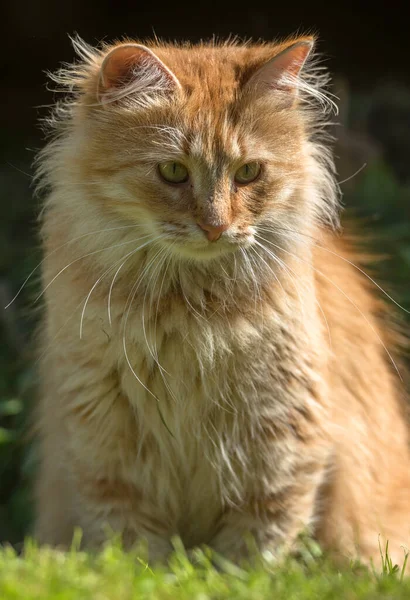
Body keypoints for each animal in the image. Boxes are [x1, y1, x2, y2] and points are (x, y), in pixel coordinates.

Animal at [32, 35, 410, 568]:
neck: (189, 313)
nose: (215, 226)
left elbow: (258, 544)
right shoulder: (104, 439)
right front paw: (155, 574)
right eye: (173, 172)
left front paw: (239, 576)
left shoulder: (282, 431)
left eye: (249, 172)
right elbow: (133, 546)